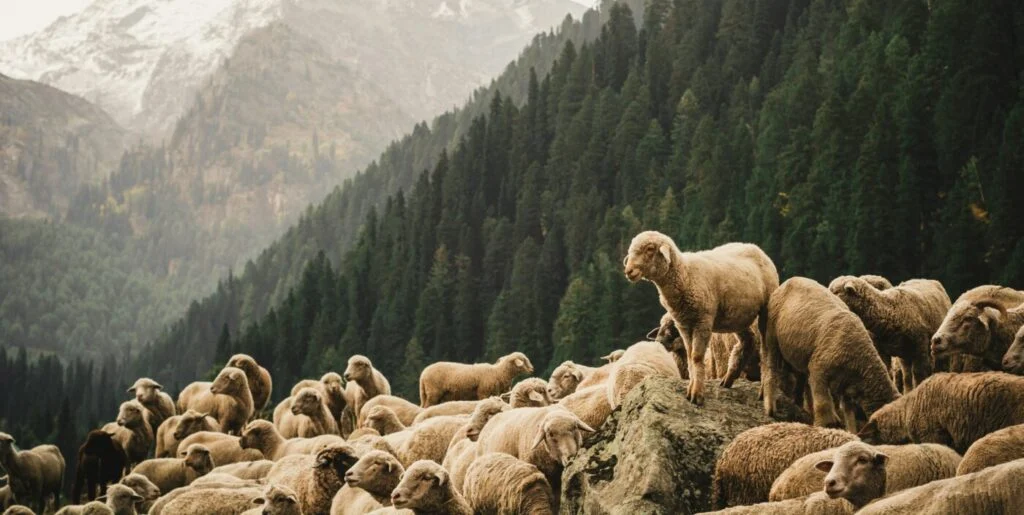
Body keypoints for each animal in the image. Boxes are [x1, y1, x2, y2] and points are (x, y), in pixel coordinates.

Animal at [623, 232, 779, 405]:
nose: (628, 271)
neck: (685, 275)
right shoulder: (684, 324)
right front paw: (691, 389)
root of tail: (755, 247)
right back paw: (728, 380)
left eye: (650, 249)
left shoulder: (703, 321)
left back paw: (763, 391)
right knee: (748, 341)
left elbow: (696, 357)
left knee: (765, 350)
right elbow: (690, 357)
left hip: (766, 309)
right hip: (739, 317)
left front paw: (697, 394)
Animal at [762, 277, 900, 429]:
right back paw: (770, 407)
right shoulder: (819, 371)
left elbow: (849, 414)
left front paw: (850, 431)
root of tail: (789, 280)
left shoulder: (846, 386)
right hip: (772, 338)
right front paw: (821, 426)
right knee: (771, 368)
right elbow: (823, 406)